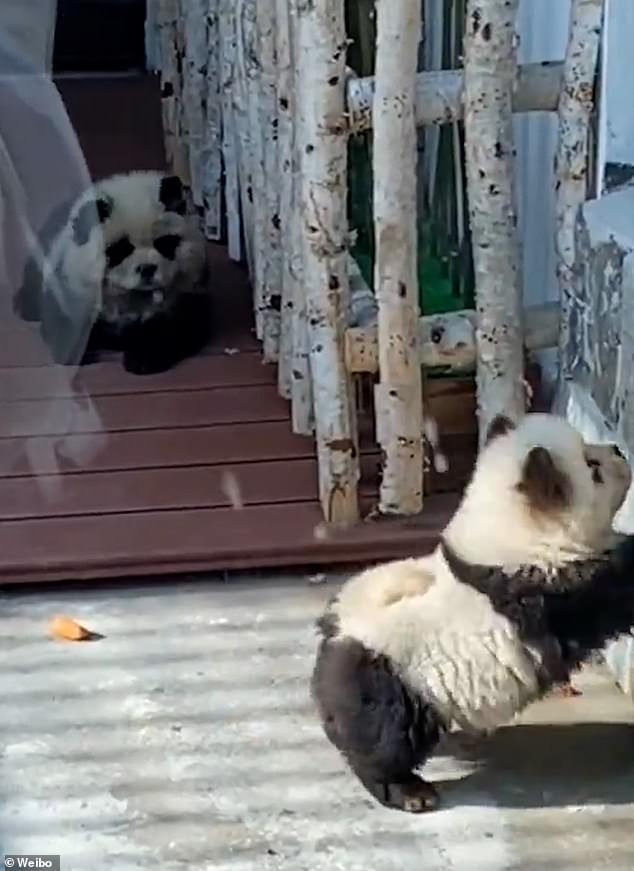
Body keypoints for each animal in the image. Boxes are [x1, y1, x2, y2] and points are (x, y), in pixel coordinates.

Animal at [12, 170, 210, 374]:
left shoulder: (188, 288)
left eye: (164, 243)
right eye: (120, 249)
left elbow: (181, 324)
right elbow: (64, 319)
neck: (132, 296)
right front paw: (73, 351)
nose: (147, 269)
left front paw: (142, 358)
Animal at [310, 412, 632, 816]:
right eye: (592, 468)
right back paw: (407, 790)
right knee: (386, 737)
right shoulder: (547, 590)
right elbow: (611, 592)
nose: (618, 449)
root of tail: (336, 633)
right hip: (394, 682)